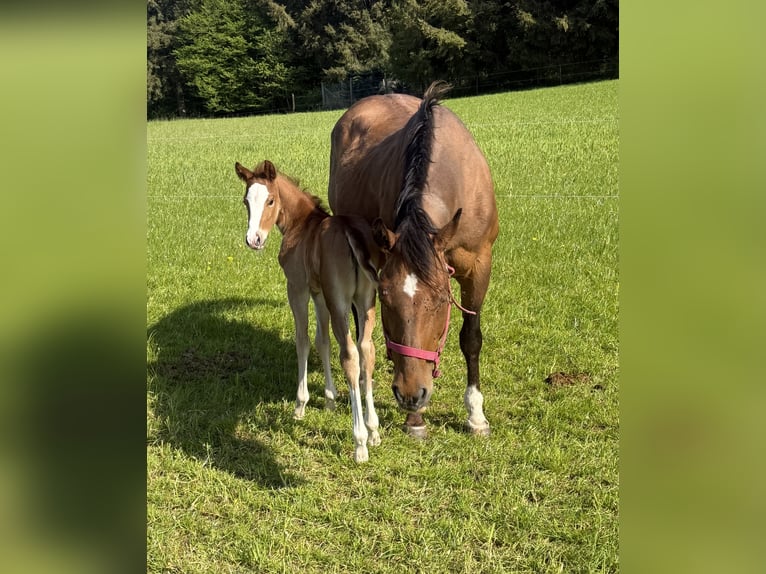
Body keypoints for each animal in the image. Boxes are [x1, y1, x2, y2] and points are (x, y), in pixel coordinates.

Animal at [235, 159, 382, 463]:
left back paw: (359, 441)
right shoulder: (320, 293)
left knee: (350, 355)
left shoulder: (298, 288)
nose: (254, 239)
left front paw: (300, 405)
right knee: (367, 349)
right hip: (364, 301)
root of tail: (351, 231)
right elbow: (322, 341)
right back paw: (373, 431)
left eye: (270, 200)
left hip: (341, 301)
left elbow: (302, 339)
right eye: (246, 201)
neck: (302, 226)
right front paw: (330, 400)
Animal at [328, 81, 499, 439]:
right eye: (386, 298)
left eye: (441, 301)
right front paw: (415, 419)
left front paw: (476, 415)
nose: (410, 394)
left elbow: (471, 339)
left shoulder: (479, 265)